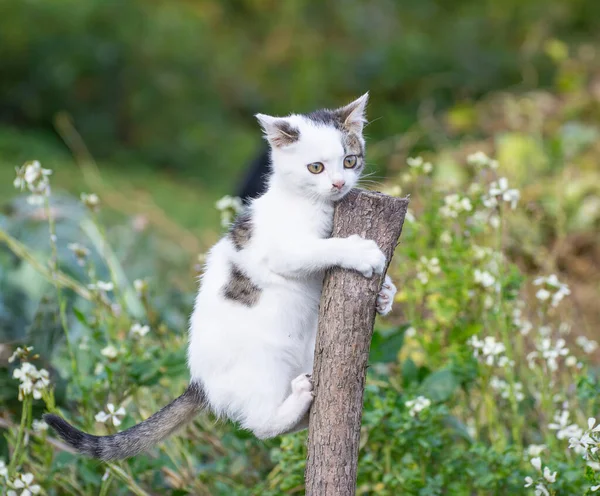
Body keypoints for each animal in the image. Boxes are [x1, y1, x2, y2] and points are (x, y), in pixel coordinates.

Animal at [43, 94, 398, 462]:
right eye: (316, 167)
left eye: (349, 160)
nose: (339, 184)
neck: (313, 205)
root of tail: (200, 383)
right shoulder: (280, 250)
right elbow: (319, 249)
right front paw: (360, 252)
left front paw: (385, 294)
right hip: (263, 363)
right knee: (260, 425)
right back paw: (296, 399)